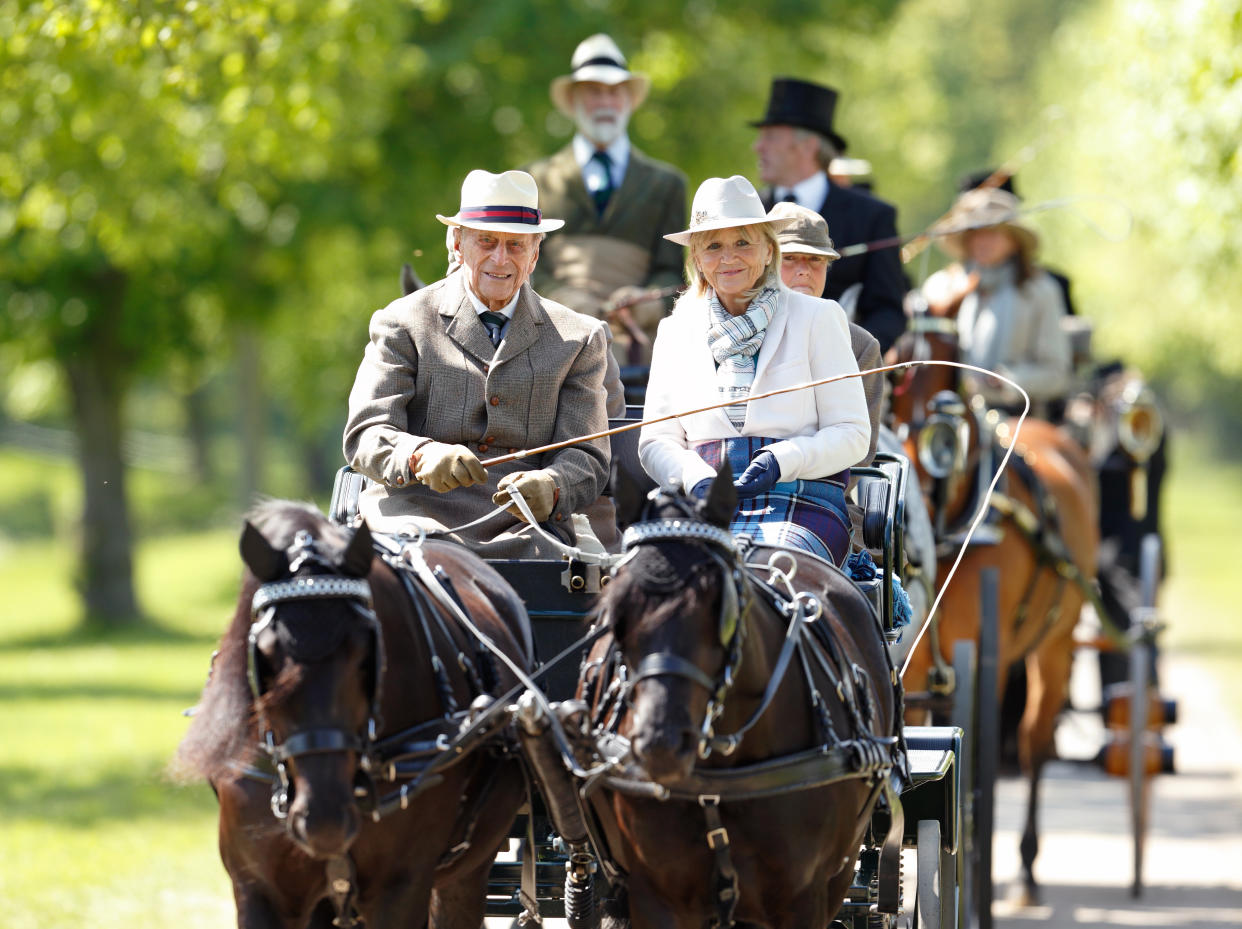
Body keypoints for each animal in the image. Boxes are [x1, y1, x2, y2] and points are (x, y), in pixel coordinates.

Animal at [172, 501, 531, 929]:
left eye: (365, 655)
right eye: (266, 655)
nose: (324, 818)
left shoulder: (402, 886)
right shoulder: (259, 889)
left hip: (467, 873)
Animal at [894, 315, 1097, 904]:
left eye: (946, 416)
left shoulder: (991, 652)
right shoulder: (915, 659)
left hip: (1056, 644)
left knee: (1033, 741)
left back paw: (1026, 866)